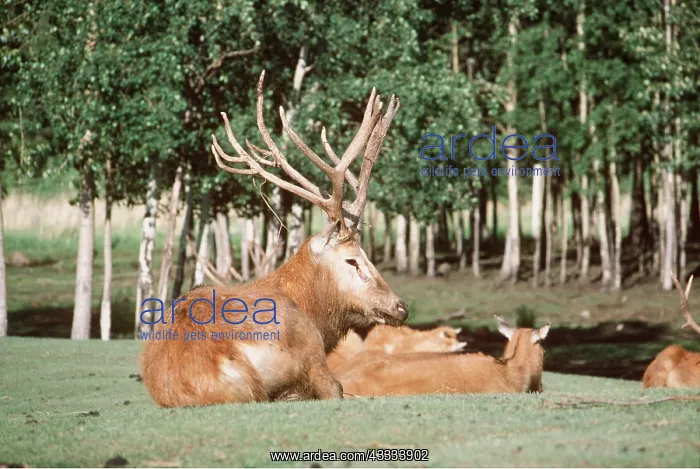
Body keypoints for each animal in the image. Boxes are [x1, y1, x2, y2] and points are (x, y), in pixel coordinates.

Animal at [141, 71, 408, 407]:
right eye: (352, 260)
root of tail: (222, 366)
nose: (401, 307)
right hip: (304, 344)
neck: (314, 309)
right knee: (330, 387)